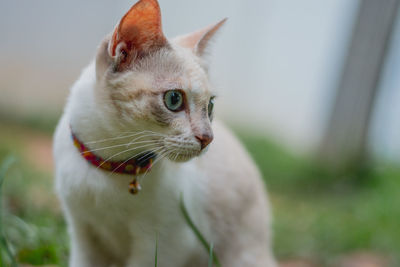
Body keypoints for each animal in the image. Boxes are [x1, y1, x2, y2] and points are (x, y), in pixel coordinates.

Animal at [53, 0, 276, 267]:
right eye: (174, 99)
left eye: (210, 106)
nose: (207, 138)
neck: (112, 164)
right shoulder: (82, 234)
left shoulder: (163, 244)